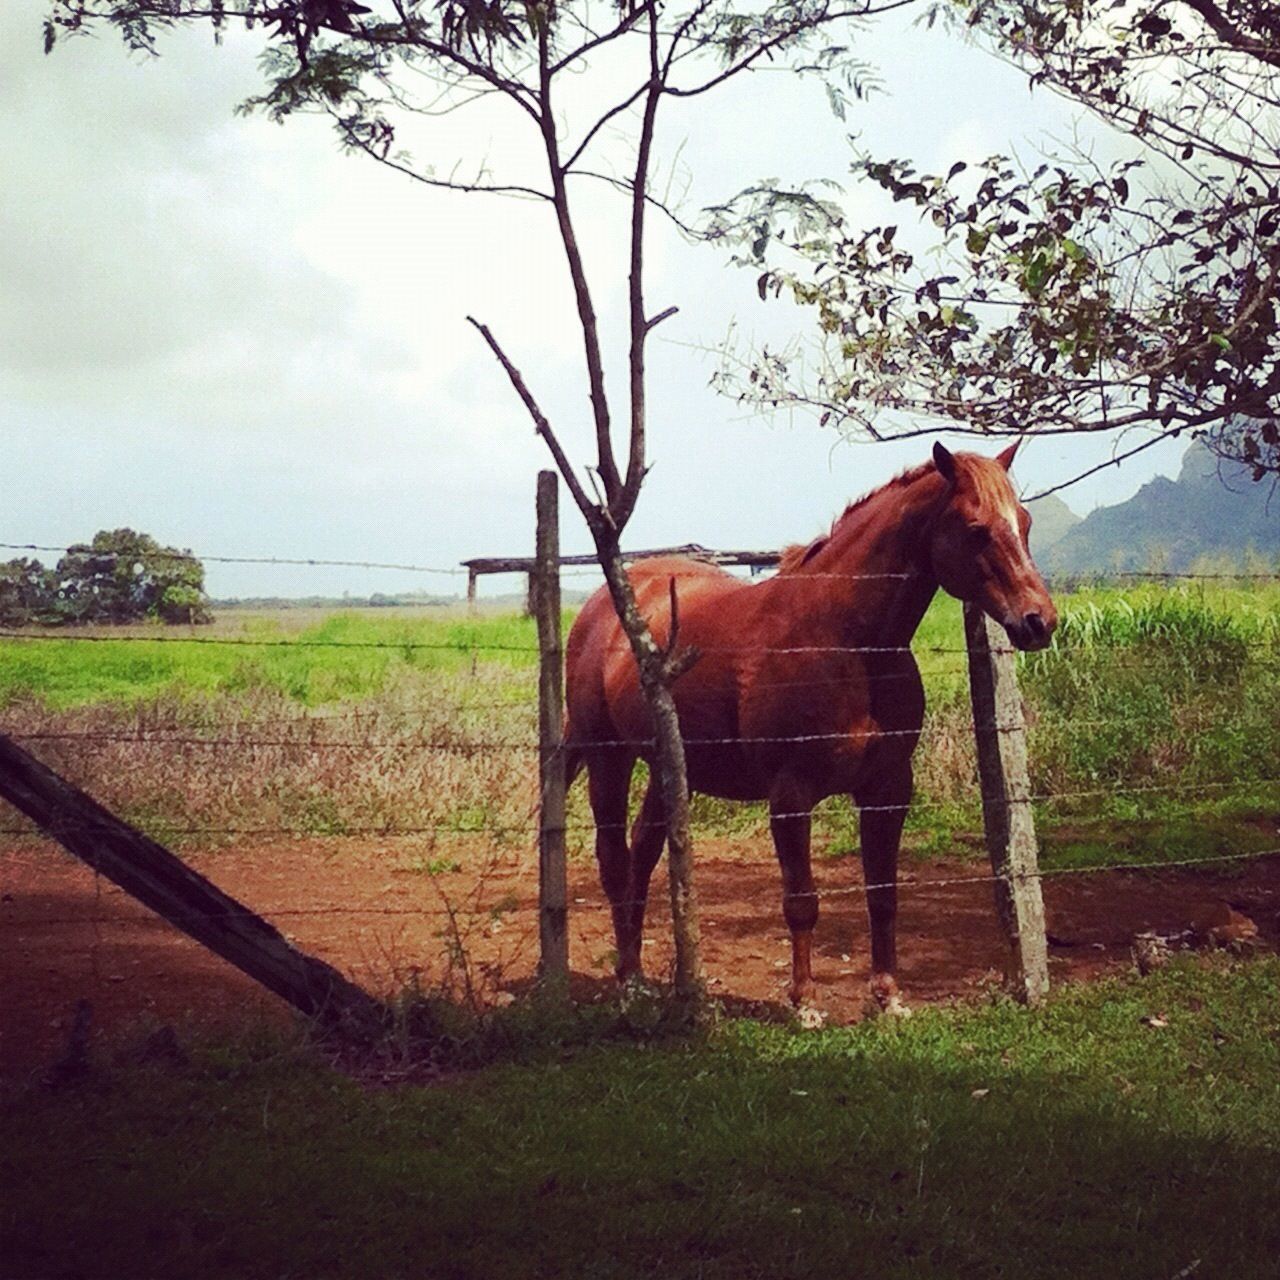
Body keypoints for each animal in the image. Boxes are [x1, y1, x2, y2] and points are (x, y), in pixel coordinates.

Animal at [565, 445, 1054, 1013]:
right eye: (976, 529)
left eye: (1025, 521)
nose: (1039, 621)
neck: (847, 642)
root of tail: (604, 603)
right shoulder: (790, 794)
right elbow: (801, 900)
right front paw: (805, 1002)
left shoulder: (888, 790)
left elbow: (883, 894)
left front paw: (887, 995)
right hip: (608, 757)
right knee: (614, 862)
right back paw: (627, 979)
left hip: (670, 764)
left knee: (643, 854)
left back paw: (641, 974)